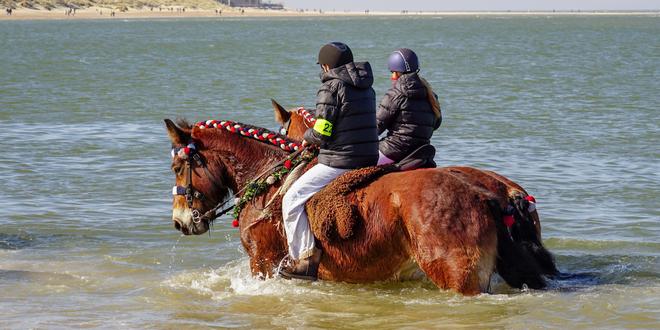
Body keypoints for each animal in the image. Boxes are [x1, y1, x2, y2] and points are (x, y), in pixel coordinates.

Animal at [165, 118, 556, 294]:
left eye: (178, 167)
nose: (181, 221)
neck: (269, 178)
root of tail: (489, 193)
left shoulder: (262, 263)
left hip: (459, 278)